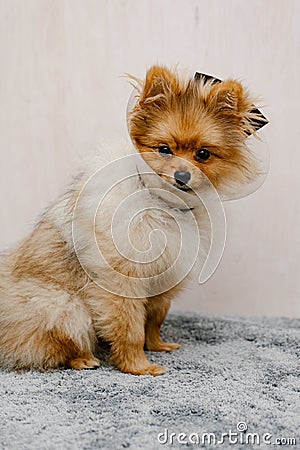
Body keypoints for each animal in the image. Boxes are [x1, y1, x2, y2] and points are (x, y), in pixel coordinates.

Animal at [0, 66, 268, 376]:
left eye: (203, 154)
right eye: (164, 149)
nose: (182, 176)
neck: (161, 202)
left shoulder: (163, 278)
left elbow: (154, 318)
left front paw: (157, 345)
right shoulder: (122, 280)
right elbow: (130, 328)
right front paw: (139, 366)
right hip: (63, 306)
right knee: (52, 341)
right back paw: (82, 358)